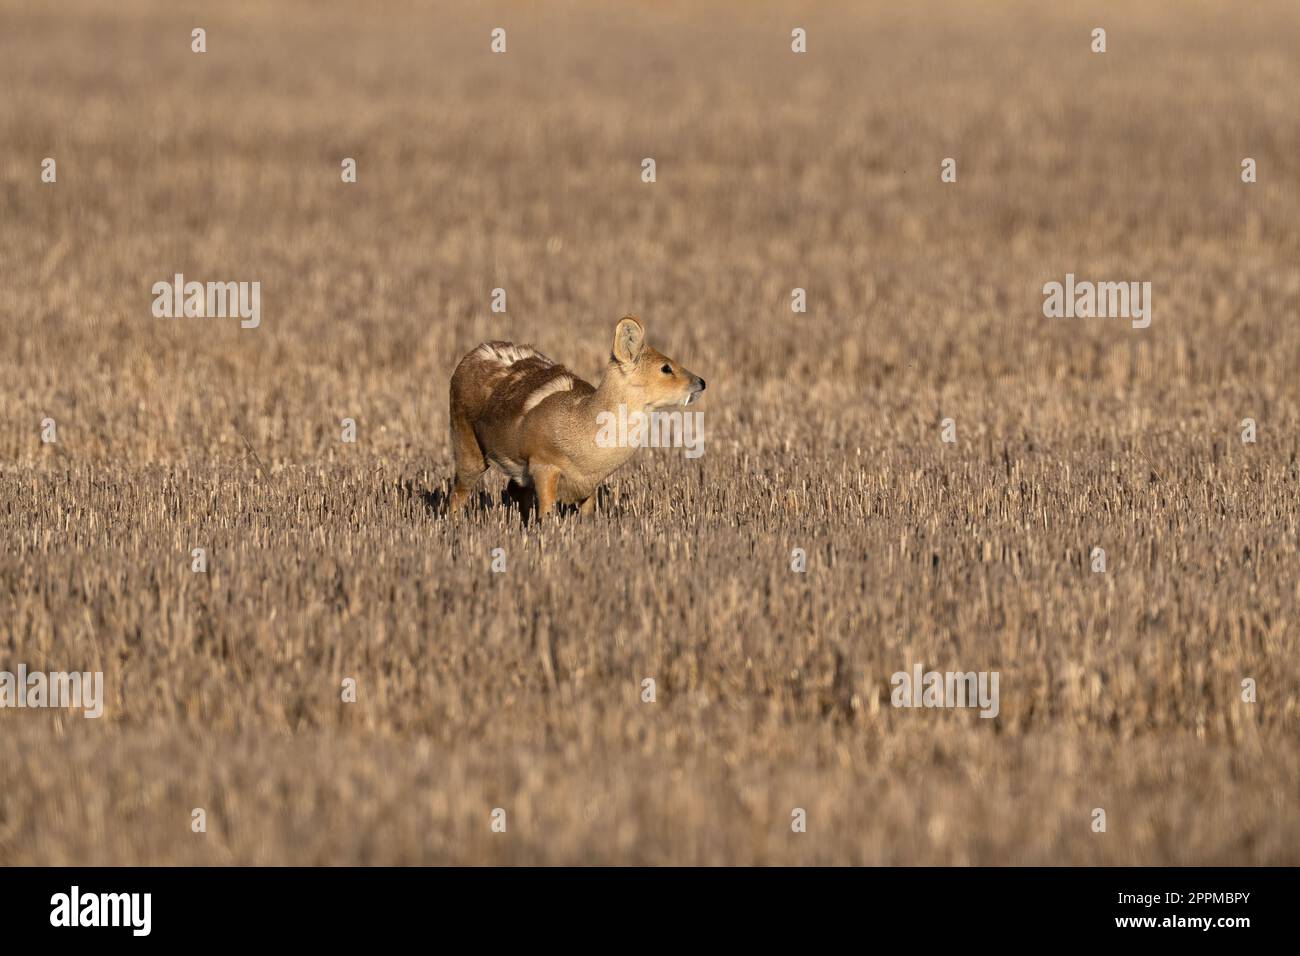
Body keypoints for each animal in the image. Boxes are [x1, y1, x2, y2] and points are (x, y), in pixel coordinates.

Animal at [449, 316, 712, 520]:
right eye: (666, 367)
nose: (701, 382)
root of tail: (469, 357)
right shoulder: (543, 464)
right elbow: (547, 516)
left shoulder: (589, 486)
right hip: (466, 444)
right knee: (458, 492)